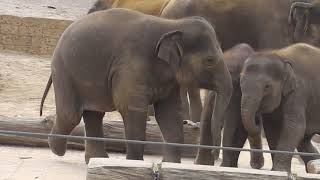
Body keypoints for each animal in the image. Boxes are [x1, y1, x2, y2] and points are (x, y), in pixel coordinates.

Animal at [39, 8, 232, 164]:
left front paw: (171, 165)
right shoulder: (129, 66)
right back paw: (57, 149)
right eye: (210, 61)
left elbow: (170, 113)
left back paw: (96, 159)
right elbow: (133, 110)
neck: (171, 25)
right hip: (64, 70)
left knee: (94, 114)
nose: (215, 155)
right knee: (71, 115)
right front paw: (135, 163)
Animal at [241, 43, 320, 172]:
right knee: (304, 140)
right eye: (240, 82)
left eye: (267, 87)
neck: (280, 55)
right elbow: (272, 129)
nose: (257, 118)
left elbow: (294, 126)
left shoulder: (299, 91)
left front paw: (279, 170)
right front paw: (275, 171)